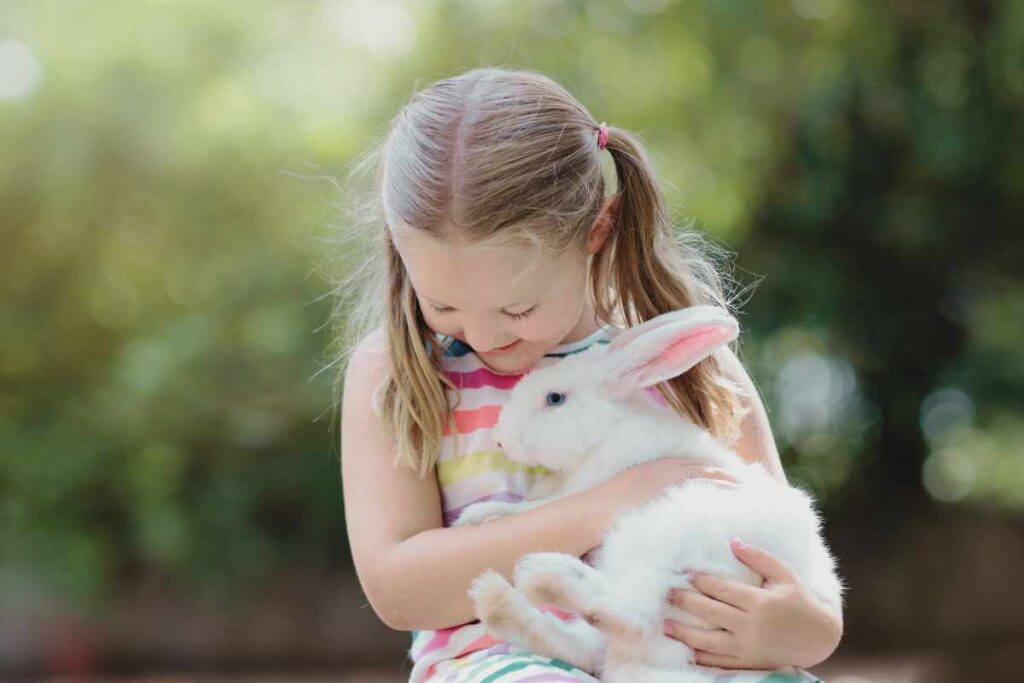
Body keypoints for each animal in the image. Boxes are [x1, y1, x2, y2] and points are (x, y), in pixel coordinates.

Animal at [452, 307, 843, 683]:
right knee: (586, 644)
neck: (610, 429)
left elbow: (539, 507)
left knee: (631, 617)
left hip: (670, 557)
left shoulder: (591, 484)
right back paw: (495, 599)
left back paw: (543, 573)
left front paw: (477, 516)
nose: (500, 440)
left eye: (554, 398)